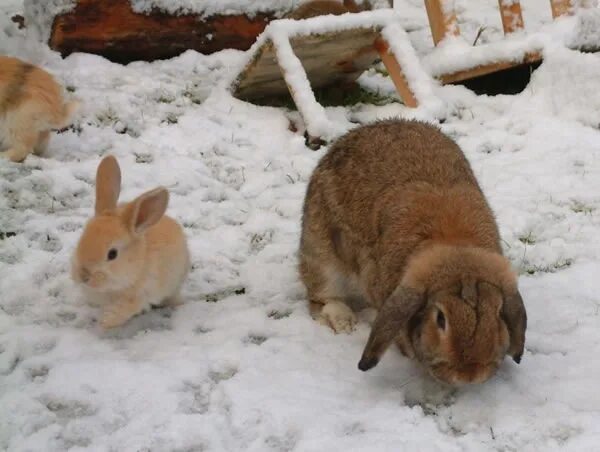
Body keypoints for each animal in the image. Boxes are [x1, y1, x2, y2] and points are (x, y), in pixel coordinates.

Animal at [72, 155, 190, 328]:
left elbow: (127, 308)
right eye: (82, 237)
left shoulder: (141, 295)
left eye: (112, 254)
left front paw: (106, 321)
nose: (83, 276)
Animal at [300, 118, 524, 384]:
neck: (455, 245)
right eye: (440, 319)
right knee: (322, 296)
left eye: (498, 313)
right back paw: (344, 321)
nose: (469, 375)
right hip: (322, 253)